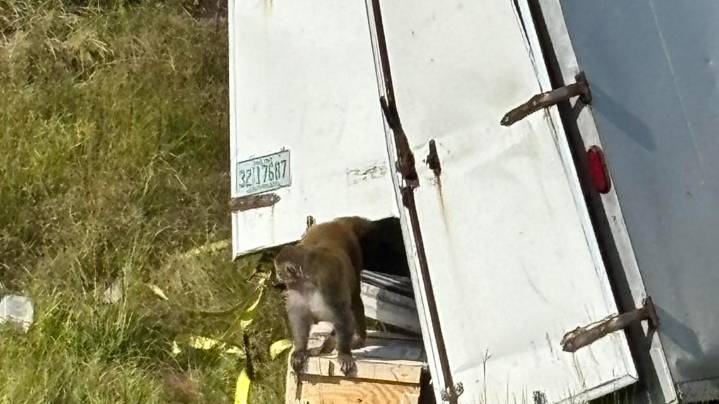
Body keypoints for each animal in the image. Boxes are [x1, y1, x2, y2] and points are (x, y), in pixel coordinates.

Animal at [274, 216, 375, 376]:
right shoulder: (296, 289)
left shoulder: (328, 282)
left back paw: (359, 337)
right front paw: (300, 350)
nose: (277, 276)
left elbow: (342, 315)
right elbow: (299, 317)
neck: (307, 282)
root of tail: (335, 223)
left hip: (354, 251)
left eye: (279, 271)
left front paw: (344, 354)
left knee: (354, 298)